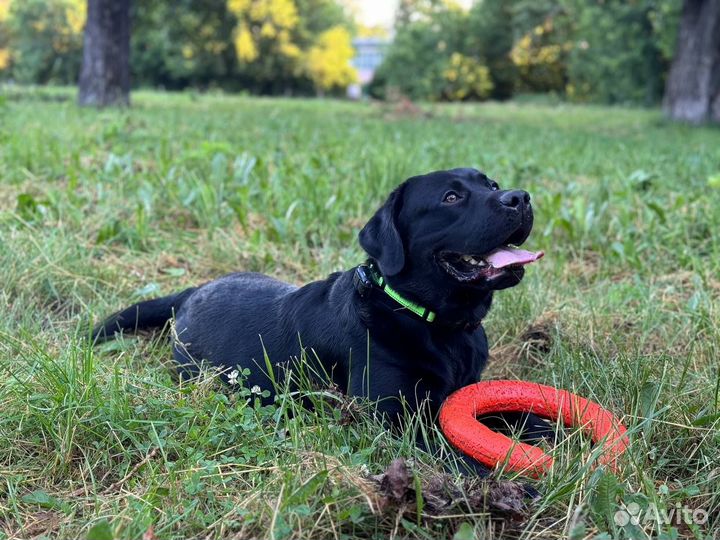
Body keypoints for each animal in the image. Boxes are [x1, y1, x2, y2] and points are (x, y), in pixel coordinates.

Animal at [94, 170, 544, 472]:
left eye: (492, 184)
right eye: (451, 197)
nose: (520, 197)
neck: (432, 322)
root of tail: (192, 291)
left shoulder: (465, 391)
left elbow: (519, 414)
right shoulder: (391, 417)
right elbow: (448, 446)